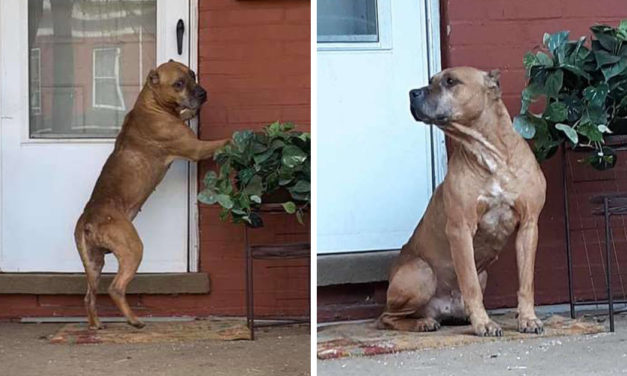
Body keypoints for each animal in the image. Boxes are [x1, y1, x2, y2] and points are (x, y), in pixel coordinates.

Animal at [75, 60, 229, 328]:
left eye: (193, 74)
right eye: (178, 84)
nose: (202, 93)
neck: (152, 103)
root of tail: (89, 219)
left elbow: (185, 115)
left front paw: (190, 113)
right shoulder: (197, 148)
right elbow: (223, 141)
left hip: (93, 263)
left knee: (89, 296)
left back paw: (96, 325)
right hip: (132, 249)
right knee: (116, 287)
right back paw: (134, 321)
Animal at [376, 66, 548, 336]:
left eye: (450, 81)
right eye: (431, 80)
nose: (413, 92)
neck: (491, 154)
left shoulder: (529, 225)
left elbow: (526, 281)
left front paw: (528, 318)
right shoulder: (461, 228)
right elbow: (470, 284)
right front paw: (483, 323)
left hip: (483, 273)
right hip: (421, 272)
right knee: (386, 317)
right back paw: (422, 322)